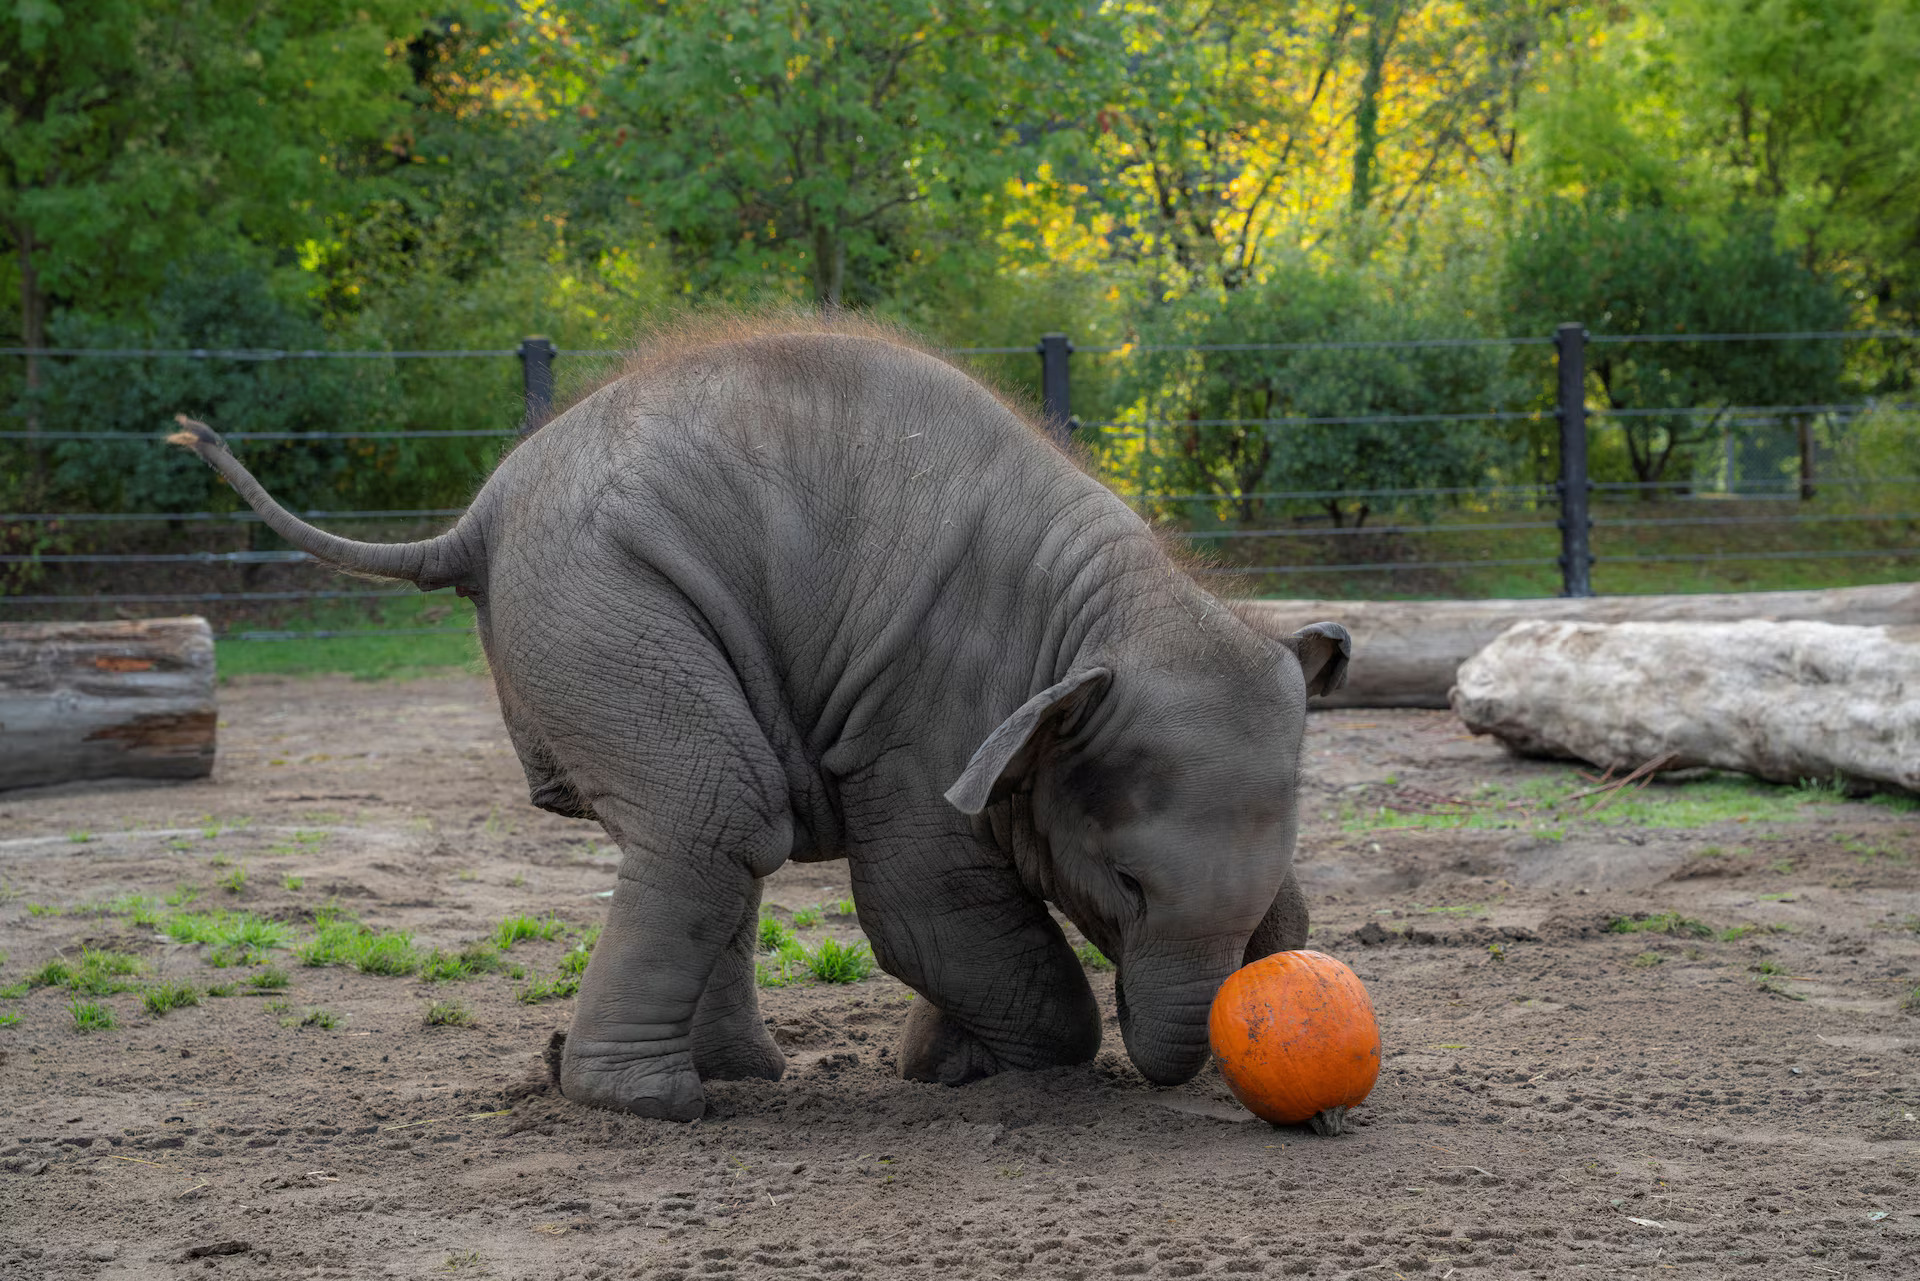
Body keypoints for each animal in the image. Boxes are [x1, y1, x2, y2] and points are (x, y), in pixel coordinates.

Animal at [171, 319, 1350, 1121]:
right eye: (1126, 882)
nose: (1187, 1063)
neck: (1106, 609)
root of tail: (480, 513)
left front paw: (947, 1063)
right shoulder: (926, 712)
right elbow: (921, 900)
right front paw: (980, 1067)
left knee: (713, 826)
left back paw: (733, 1072)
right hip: (604, 608)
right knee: (717, 809)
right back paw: (649, 1102)